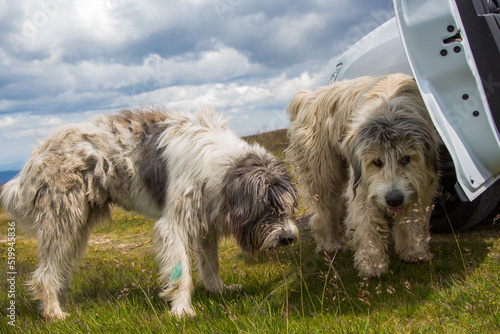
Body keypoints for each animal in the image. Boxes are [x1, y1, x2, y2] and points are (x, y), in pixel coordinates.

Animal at [0, 108, 298, 320]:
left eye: (288, 208)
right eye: (268, 208)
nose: (289, 239)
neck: (220, 164)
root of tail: (36, 157)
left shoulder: (206, 220)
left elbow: (210, 263)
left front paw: (219, 290)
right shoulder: (174, 224)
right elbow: (181, 271)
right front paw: (182, 310)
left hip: (77, 224)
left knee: (59, 265)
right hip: (64, 219)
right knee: (45, 272)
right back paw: (54, 312)